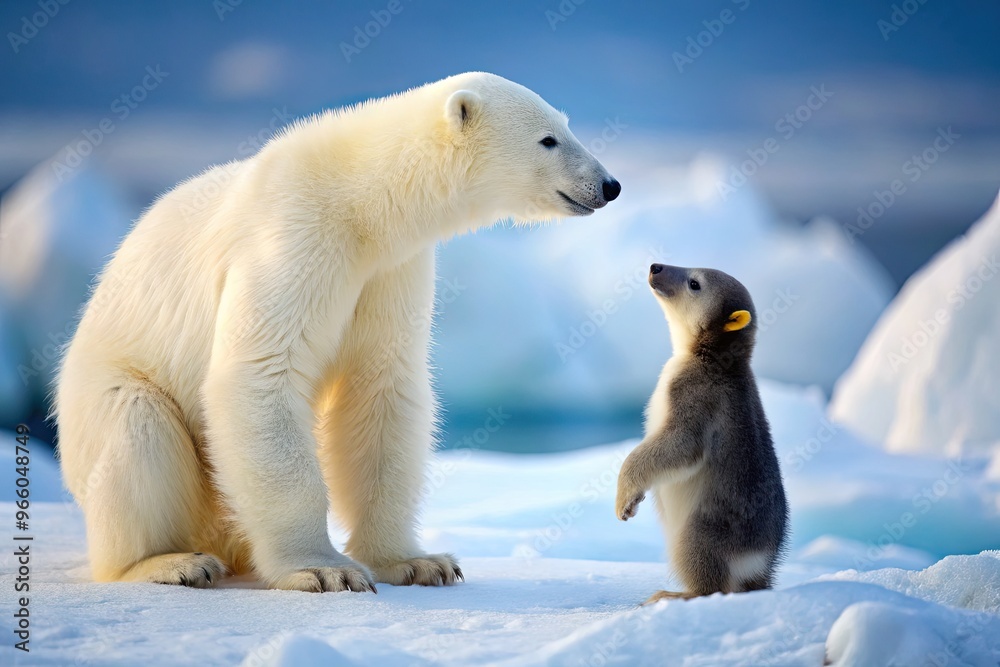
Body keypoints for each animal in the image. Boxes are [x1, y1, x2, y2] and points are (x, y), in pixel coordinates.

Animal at [55, 72, 620, 592]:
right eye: (548, 138)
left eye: (567, 125)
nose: (610, 185)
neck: (357, 200)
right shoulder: (292, 239)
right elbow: (261, 374)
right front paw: (323, 569)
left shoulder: (391, 269)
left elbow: (381, 387)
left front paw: (419, 562)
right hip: (107, 397)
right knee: (137, 429)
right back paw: (170, 563)